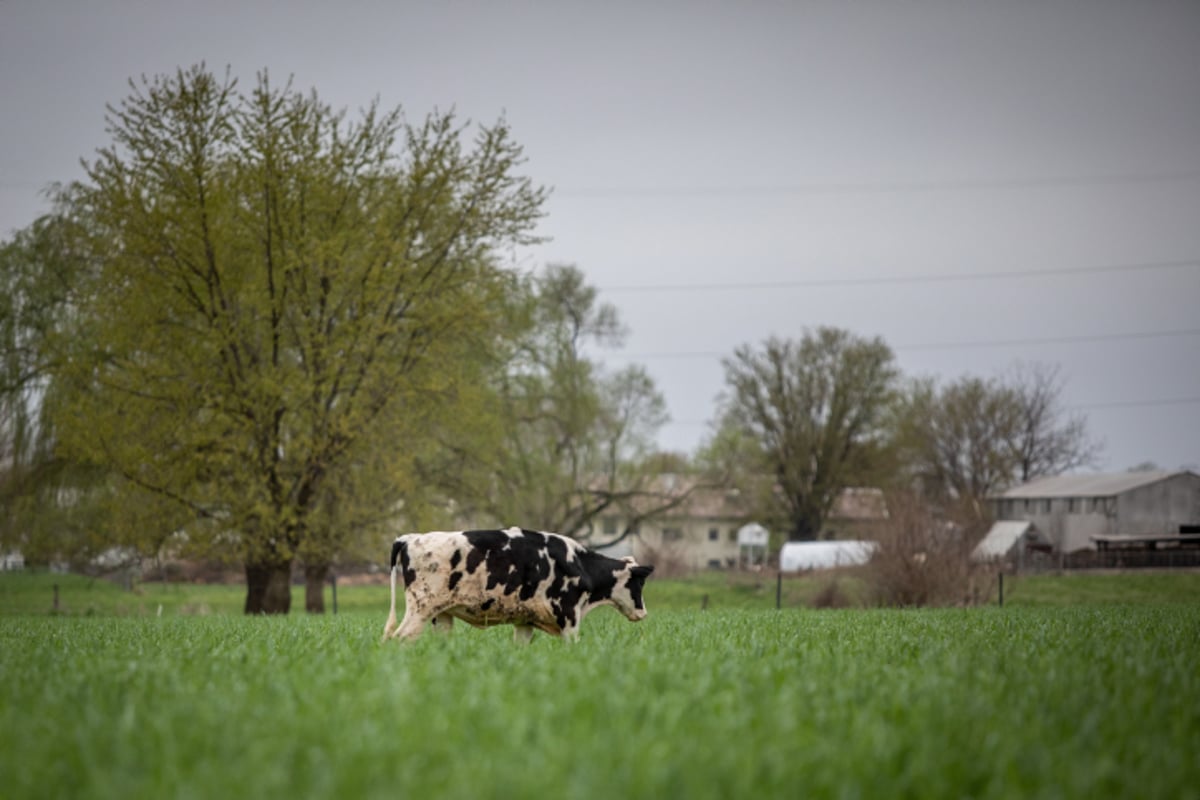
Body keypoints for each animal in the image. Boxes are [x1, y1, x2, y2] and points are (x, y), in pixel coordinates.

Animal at [381, 525, 657, 642]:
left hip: (441, 615)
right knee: (400, 637)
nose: (644, 613)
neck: (579, 563)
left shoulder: (525, 621)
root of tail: (410, 538)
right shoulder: (569, 618)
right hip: (420, 608)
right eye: (640, 583)